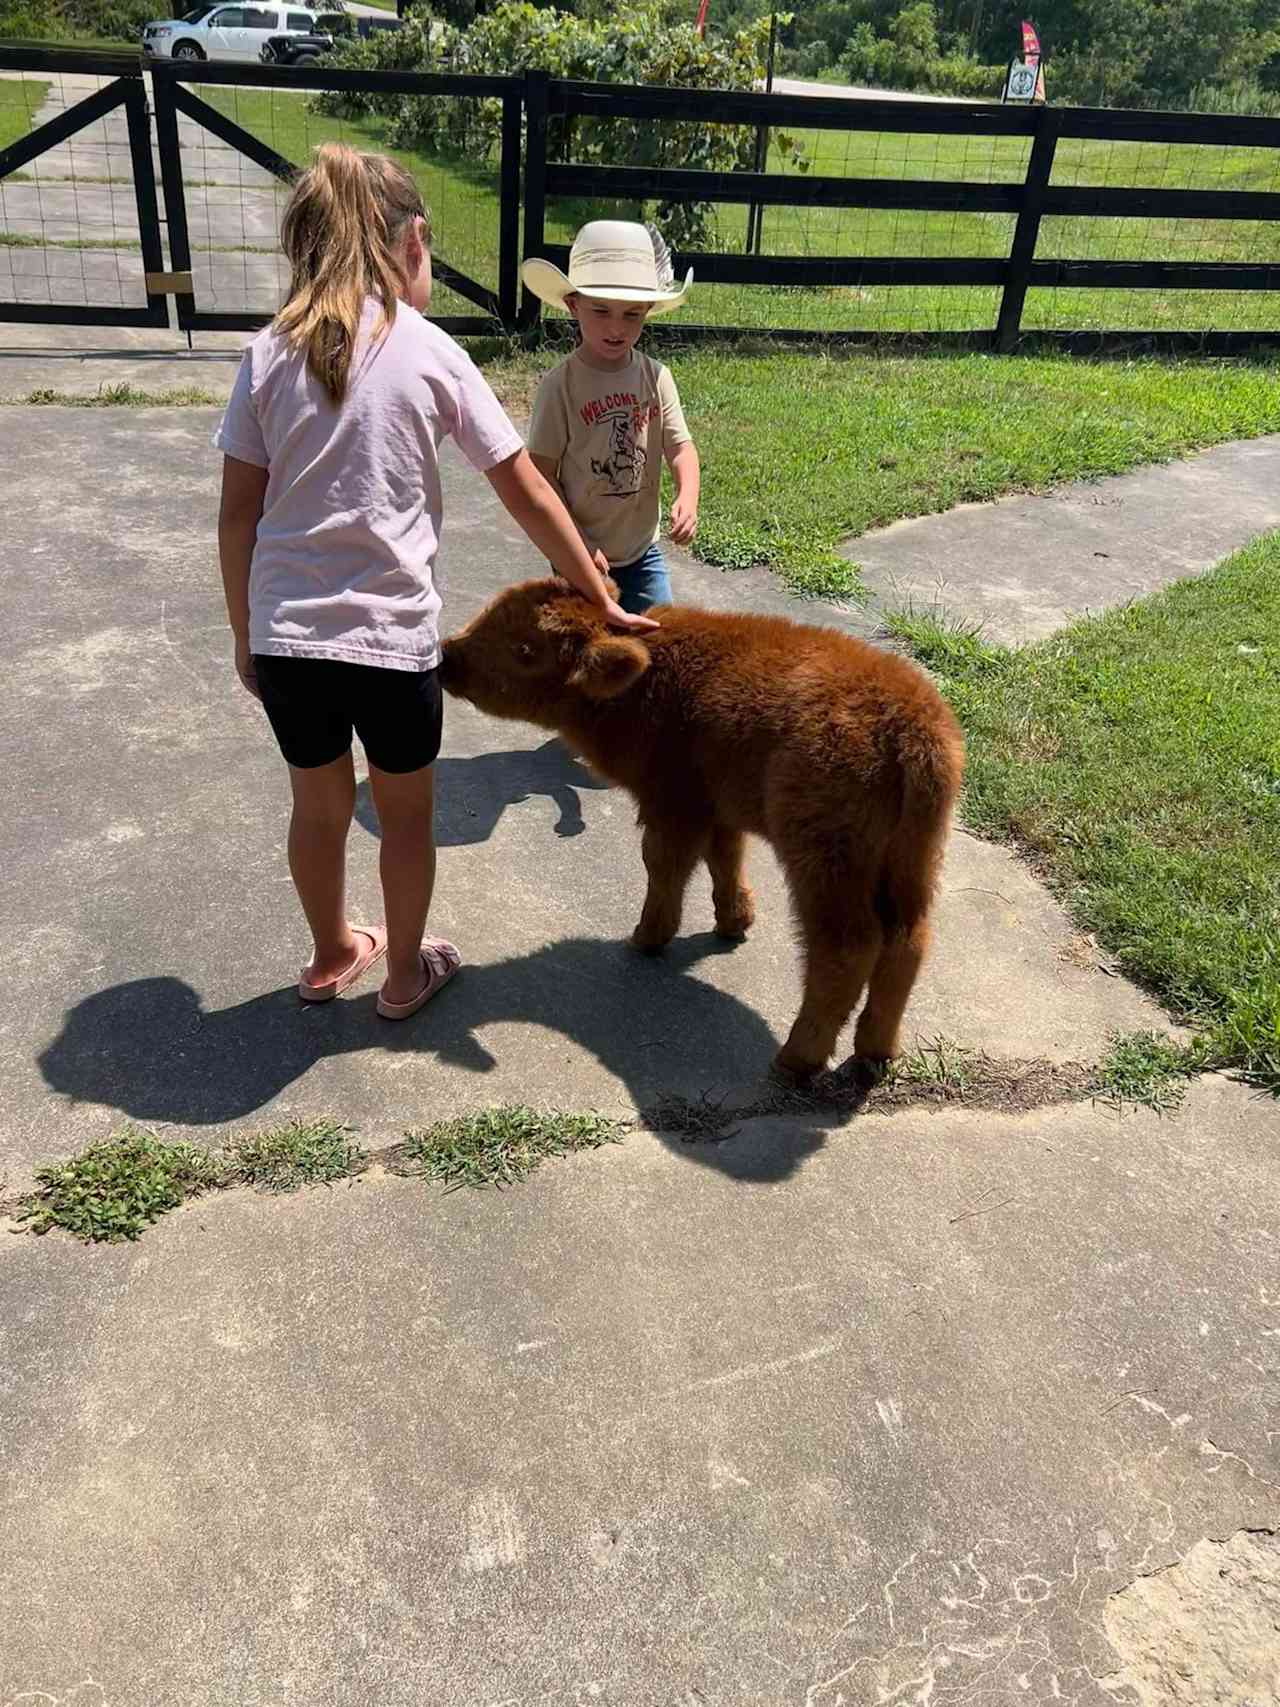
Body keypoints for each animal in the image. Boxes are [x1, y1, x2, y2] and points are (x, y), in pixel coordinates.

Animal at [440, 580, 962, 1071]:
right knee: (908, 940)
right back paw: (876, 1050)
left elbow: (664, 867)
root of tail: (912, 729)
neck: (643, 685)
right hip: (913, 861)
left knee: (847, 947)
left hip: (827, 859)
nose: (447, 657)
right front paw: (734, 923)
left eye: (525, 649)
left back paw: (798, 1058)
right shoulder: (717, 807)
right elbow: (724, 858)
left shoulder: (672, 806)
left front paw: (647, 938)